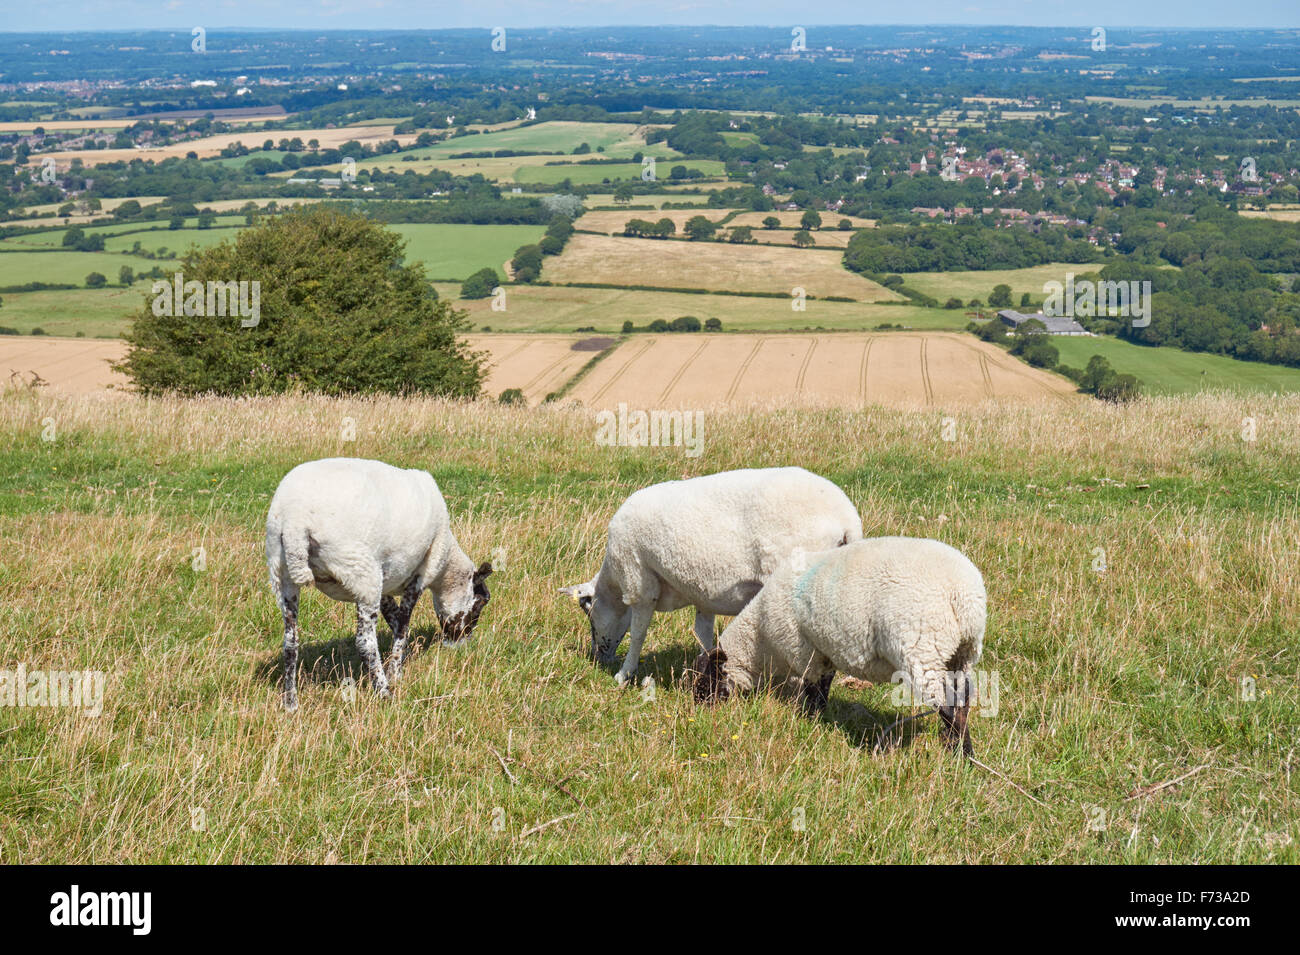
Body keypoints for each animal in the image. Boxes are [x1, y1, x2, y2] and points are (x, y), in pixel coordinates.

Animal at [263, 454, 491, 712]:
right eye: (480, 603)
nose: (462, 645)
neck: (446, 566)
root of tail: (295, 521)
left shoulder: (385, 586)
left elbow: (394, 619)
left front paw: (399, 662)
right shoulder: (418, 575)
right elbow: (402, 624)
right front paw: (395, 672)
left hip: (282, 573)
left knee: (290, 642)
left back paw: (291, 703)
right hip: (362, 573)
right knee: (364, 641)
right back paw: (384, 692)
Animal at [559, 465, 863, 686]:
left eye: (587, 612)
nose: (599, 658)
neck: (613, 581)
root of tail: (847, 520)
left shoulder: (640, 582)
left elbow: (638, 633)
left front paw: (624, 674)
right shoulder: (703, 594)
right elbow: (703, 634)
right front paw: (705, 670)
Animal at [691, 537, 982, 753]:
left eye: (707, 679)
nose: (698, 709)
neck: (759, 640)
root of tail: (961, 595)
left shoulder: (804, 651)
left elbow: (814, 690)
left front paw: (810, 720)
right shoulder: (823, 651)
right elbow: (825, 684)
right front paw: (819, 717)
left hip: (923, 648)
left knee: (947, 705)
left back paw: (958, 752)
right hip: (962, 653)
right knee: (963, 700)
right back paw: (960, 749)